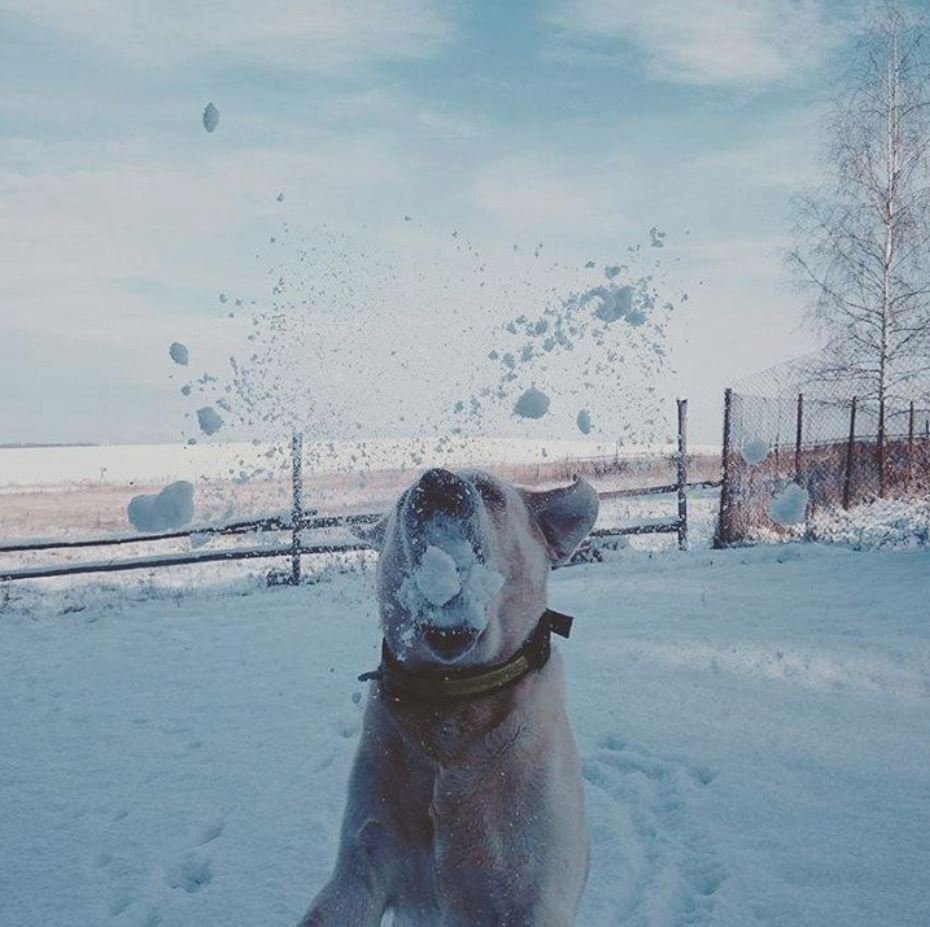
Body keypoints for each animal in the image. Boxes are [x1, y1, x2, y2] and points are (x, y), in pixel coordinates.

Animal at [300, 472, 600, 927]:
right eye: (403, 499)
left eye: (491, 492)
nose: (437, 479)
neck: (452, 701)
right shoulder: (361, 865)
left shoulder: (536, 893)